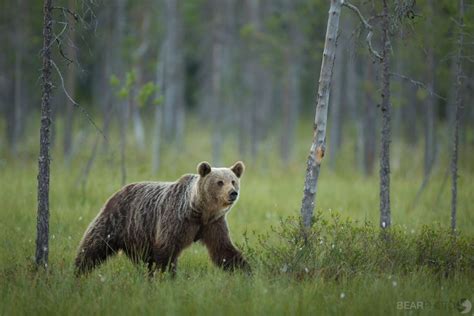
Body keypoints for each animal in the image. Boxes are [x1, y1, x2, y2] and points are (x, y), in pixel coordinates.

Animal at [74, 162, 250, 276]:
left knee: (143, 260)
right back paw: (78, 271)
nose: (233, 193)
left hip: (139, 235)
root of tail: (119, 190)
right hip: (117, 220)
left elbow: (223, 249)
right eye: (219, 182)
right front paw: (167, 276)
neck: (199, 211)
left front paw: (245, 271)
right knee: (93, 246)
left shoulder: (212, 224)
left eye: (233, 181)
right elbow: (167, 250)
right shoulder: (177, 219)